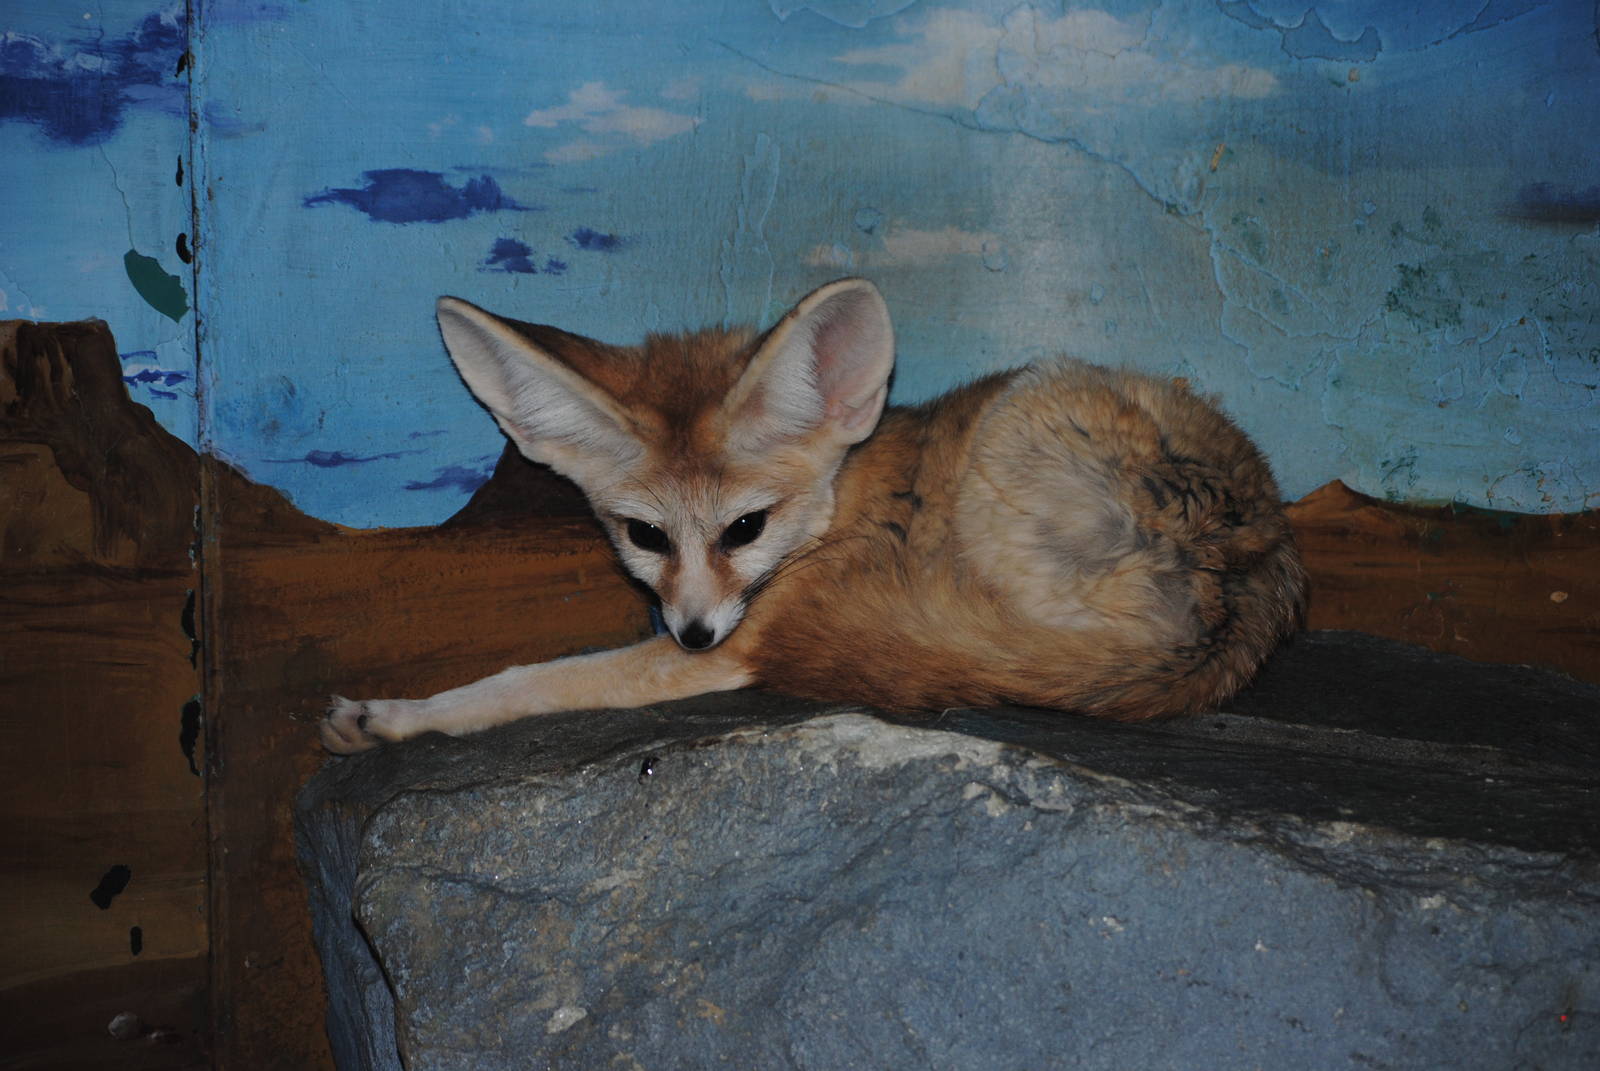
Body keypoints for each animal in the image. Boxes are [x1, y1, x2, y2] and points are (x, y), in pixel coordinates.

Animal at [320, 278, 1306, 754]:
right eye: (645, 535)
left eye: (744, 529)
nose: (691, 632)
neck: (852, 499)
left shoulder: (744, 642)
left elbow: (524, 680)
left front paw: (396, 714)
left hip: (1023, 408)